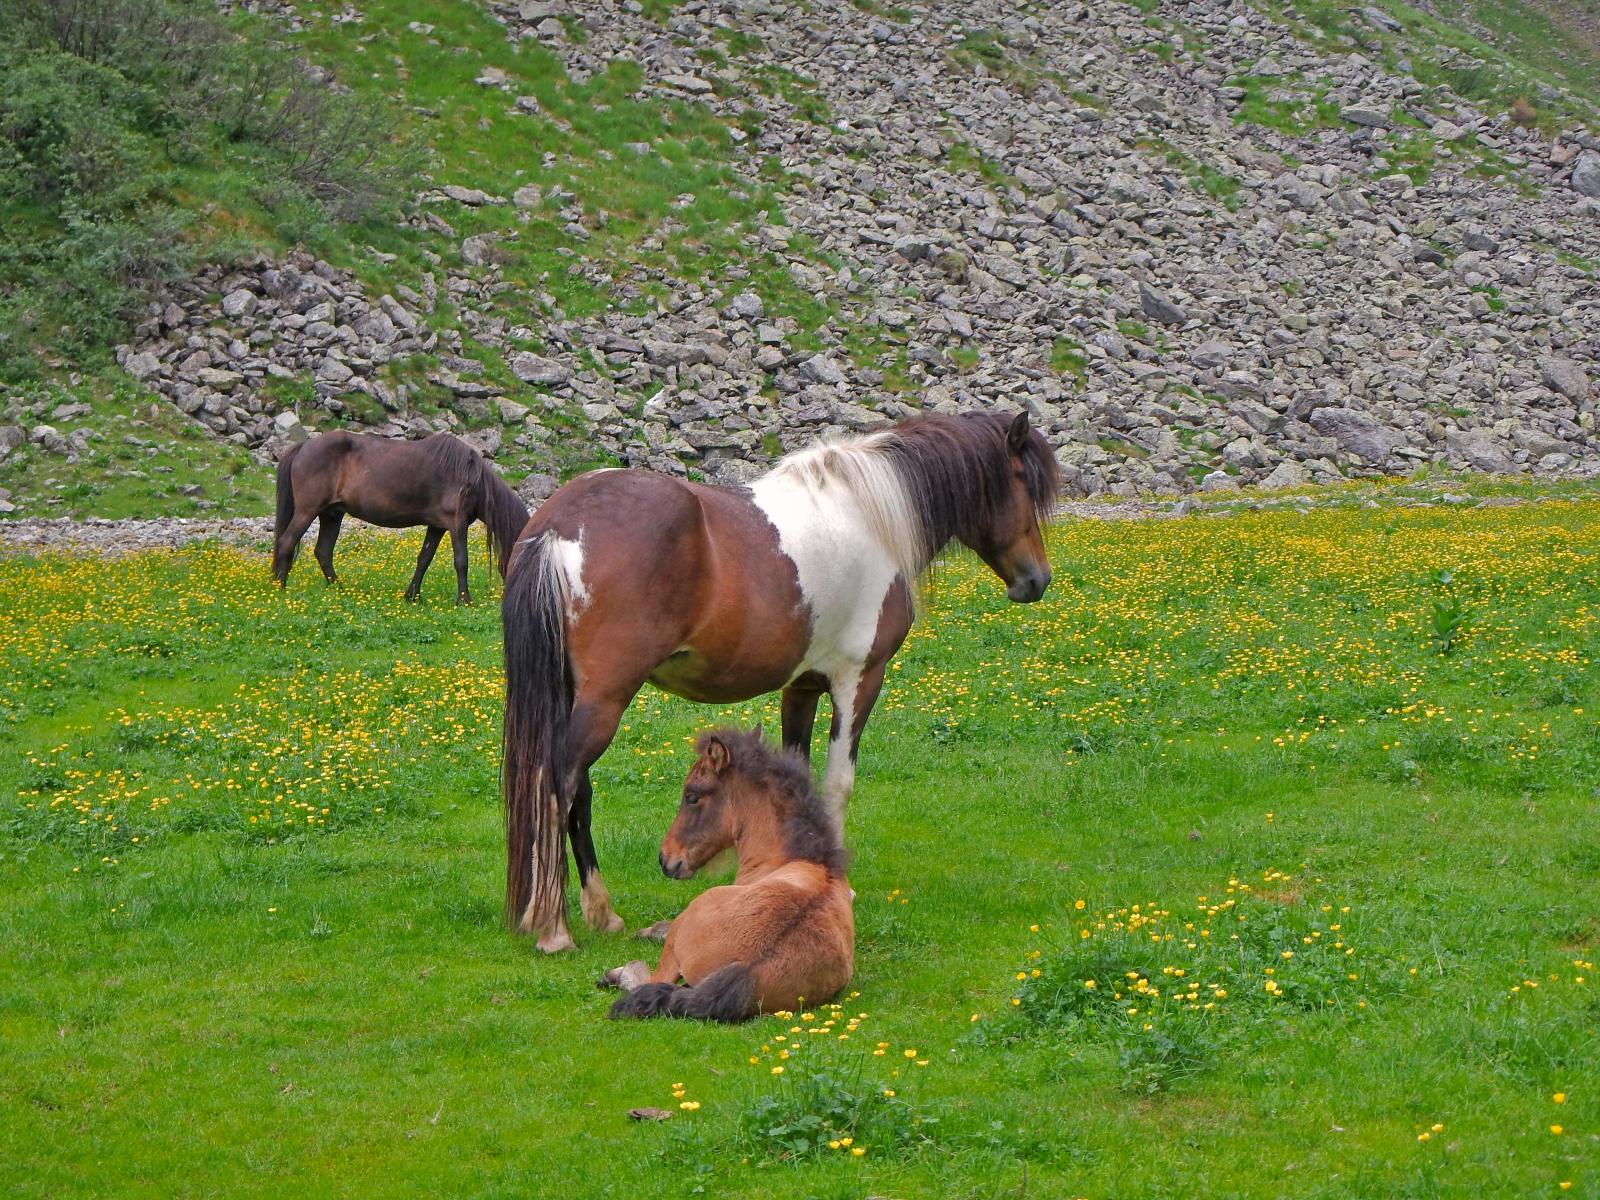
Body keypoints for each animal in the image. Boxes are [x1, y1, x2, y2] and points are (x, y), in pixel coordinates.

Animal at [272, 428, 528, 604]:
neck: (469, 477)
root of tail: (304, 446)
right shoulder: (457, 524)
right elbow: (461, 561)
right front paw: (464, 600)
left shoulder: (437, 527)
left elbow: (424, 559)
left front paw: (412, 596)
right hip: (307, 511)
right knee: (287, 542)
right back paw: (280, 588)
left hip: (332, 515)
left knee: (323, 552)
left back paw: (340, 590)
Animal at [492, 409, 1056, 953]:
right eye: (1024, 483)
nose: (1036, 580)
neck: (868, 516)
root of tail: (559, 524)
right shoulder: (859, 679)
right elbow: (837, 782)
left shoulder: (801, 686)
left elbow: (796, 776)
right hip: (606, 697)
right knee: (558, 784)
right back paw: (554, 928)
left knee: (577, 792)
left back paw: (600, 912)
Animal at [601, 729, 857, 1030]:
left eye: (691, 796)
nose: (666, 859)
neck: (798, 858)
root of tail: (747, 968)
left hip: (687, 925)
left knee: (651, 976)